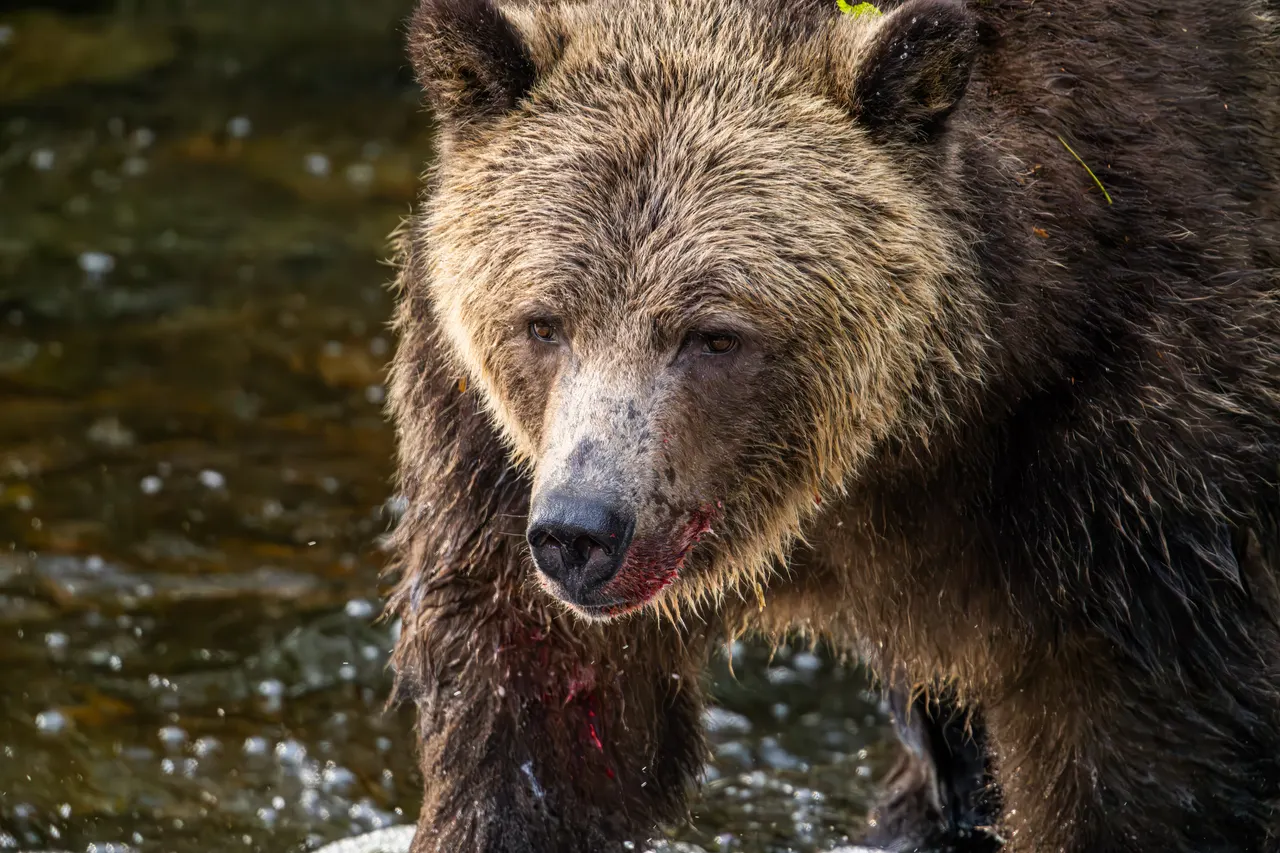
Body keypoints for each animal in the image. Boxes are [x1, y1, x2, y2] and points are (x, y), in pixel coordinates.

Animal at [384, 0, 1280, 849]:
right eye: (544, 322)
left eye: (715, 335)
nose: (582, 529)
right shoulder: (494, 459)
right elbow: (541, 719)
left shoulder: (1126, 439)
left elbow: (1136, 750)